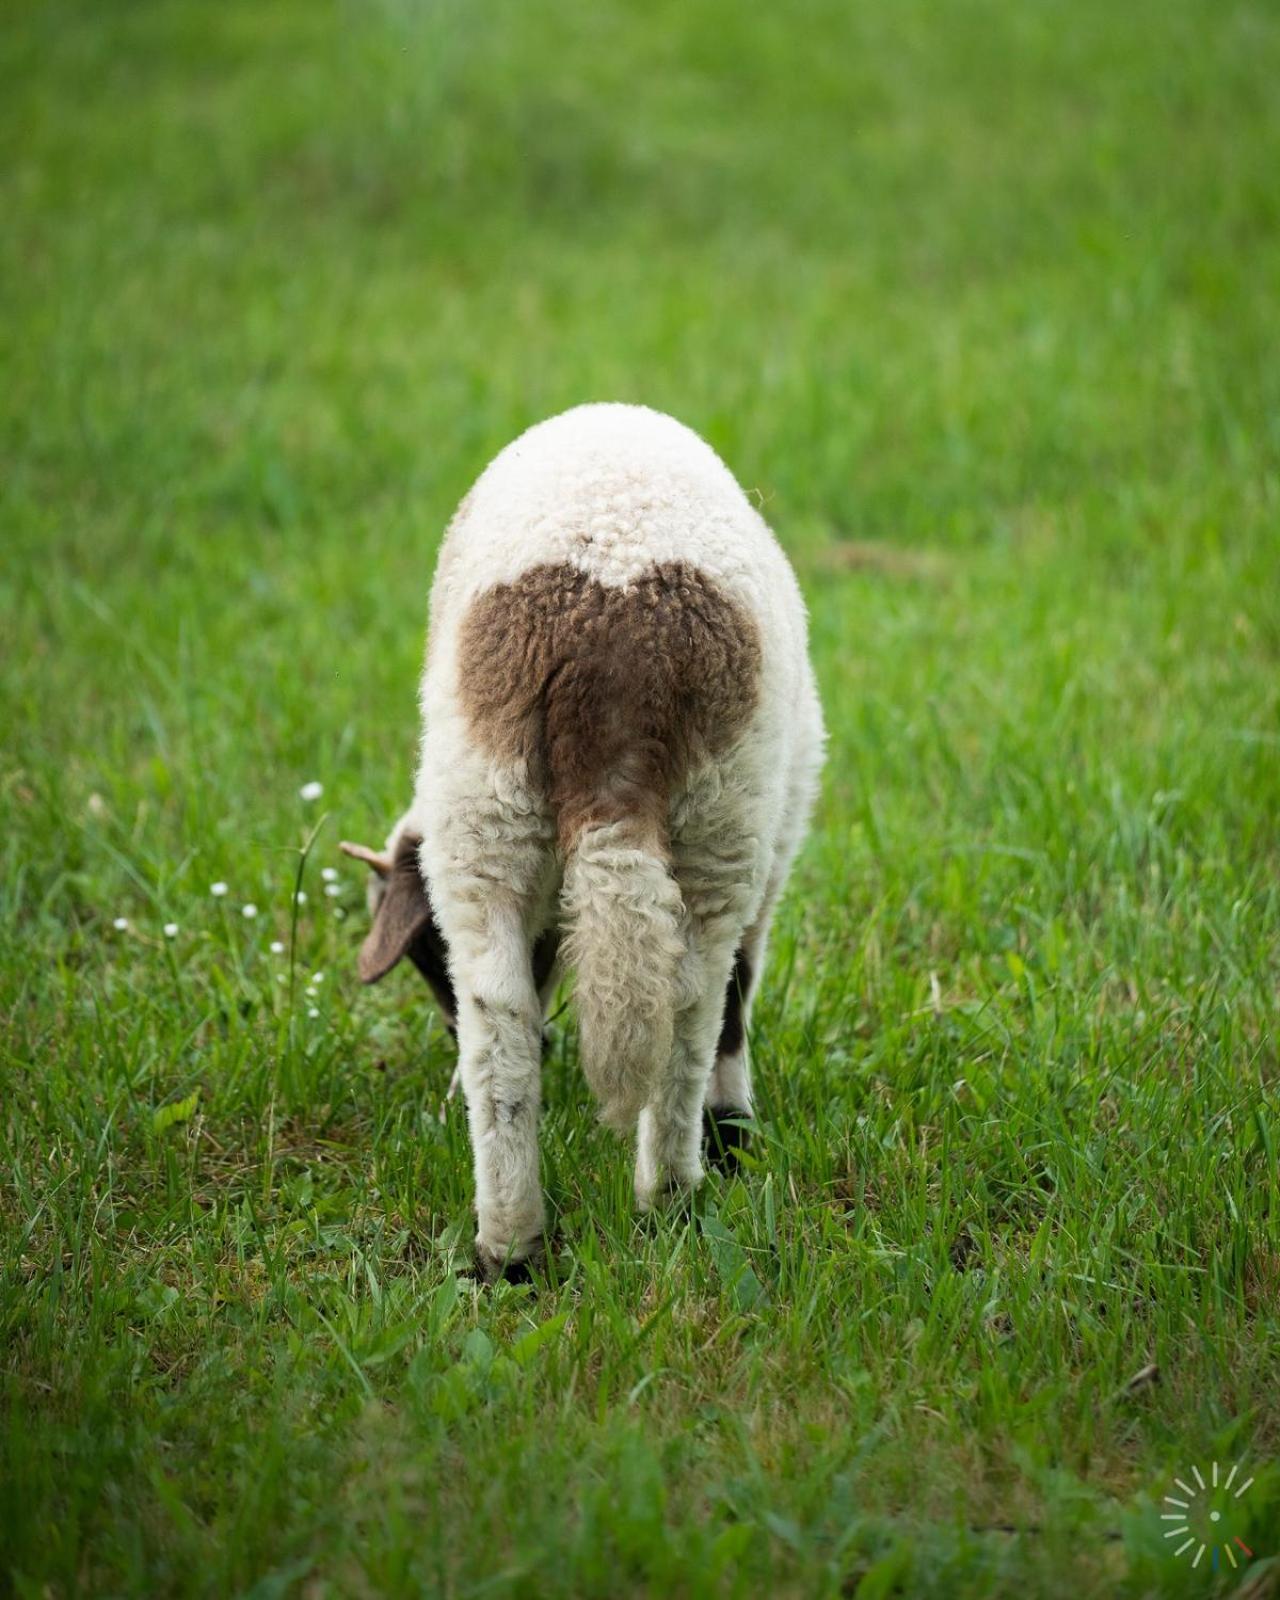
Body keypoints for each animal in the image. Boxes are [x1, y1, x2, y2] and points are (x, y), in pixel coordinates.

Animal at [342, 403, 824, 1280]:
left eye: (427, 958)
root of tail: (613, 629)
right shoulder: (778, 839)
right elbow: (742, 985)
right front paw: (734, 1128)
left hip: (485, 808)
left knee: (501, 1022)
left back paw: (510, 1245)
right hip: (726, 816)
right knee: (695, 1004)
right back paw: (673, 1194)